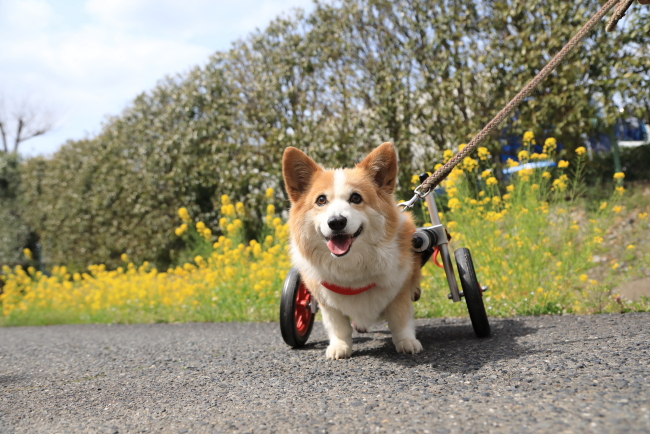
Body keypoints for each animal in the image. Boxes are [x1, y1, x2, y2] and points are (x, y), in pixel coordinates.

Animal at [282, 142, 422, 360]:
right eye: (321, 200)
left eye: (356, 197)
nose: (336, 222)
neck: (350, 264)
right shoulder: (327, 303)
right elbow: (338, 326)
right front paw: (339, 347)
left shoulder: (399, 289)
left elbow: (400, 320)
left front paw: (407, 343)